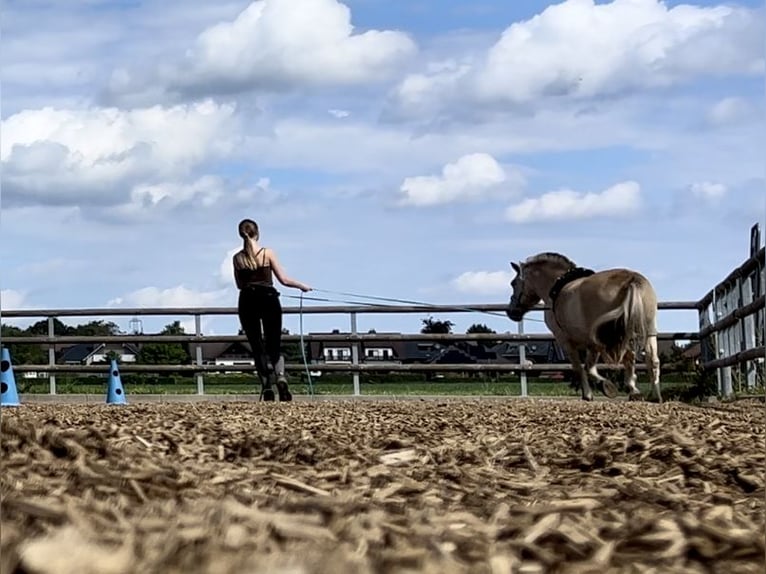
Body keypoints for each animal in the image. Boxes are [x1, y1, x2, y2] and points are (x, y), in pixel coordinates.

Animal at [508, 252, 664, 404]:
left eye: (513, 283)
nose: (511, 312)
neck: (556, 287)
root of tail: (631, 280)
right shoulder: (592, 344)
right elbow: (590, 366)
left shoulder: (567, 341)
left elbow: (581, 367)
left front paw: (593, 392)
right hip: (648, 331)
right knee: (651, 360)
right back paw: (653, 396)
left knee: (628, 358)